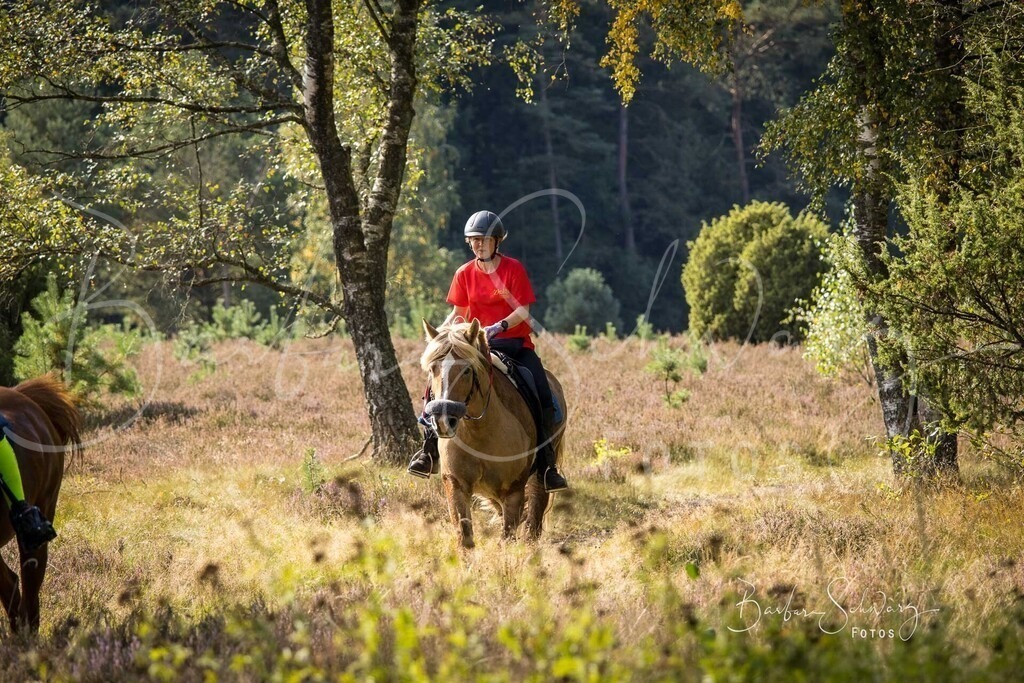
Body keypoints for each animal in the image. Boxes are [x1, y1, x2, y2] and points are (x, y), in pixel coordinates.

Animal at [420, 319, 566, 549]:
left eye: (467, 371)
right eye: (432, 369)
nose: (443, 420)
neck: (479, 431)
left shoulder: (513, 490)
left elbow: (507, 538)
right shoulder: (456, 484)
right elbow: (464, 536)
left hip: (540, 473)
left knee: (534, 515)